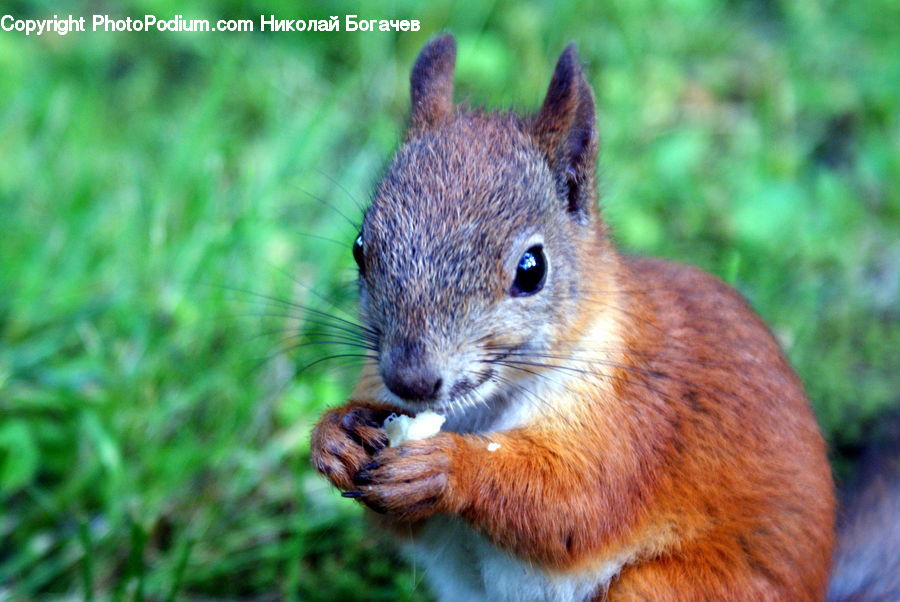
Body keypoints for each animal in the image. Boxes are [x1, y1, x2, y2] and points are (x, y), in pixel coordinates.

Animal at [310, 36, 836, 600]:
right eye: (360, 248)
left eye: (532, 269)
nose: (410, 381)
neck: (483, 408)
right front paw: (334, 435)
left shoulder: (633, 419)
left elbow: (574, 503)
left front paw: (447, 466)